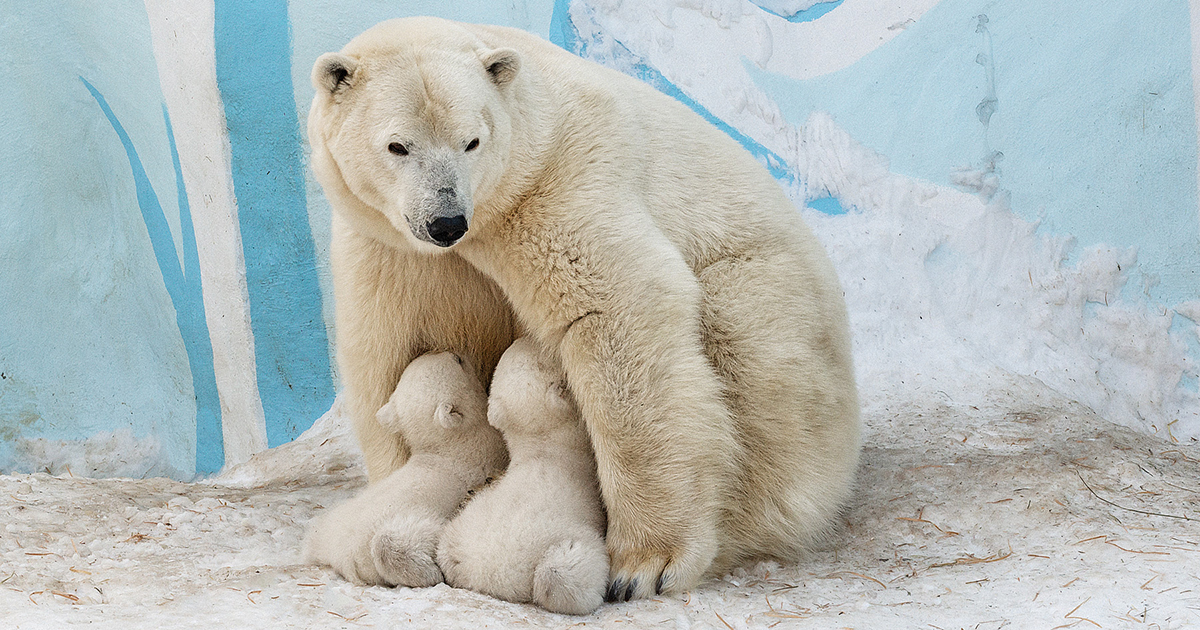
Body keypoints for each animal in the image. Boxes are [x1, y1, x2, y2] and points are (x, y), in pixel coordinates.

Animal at [304, 350, 506, 588]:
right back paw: (430, 572)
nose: (448, 351)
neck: (447, 446)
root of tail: (343, 559)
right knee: (395, 542)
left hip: (333, 521)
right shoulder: (486, 450)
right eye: (458, 361)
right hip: (411, 522)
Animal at [439, 338, 609, 614]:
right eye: (543, 358)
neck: (543, 452)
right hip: (565, 541)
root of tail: (495, 576)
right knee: (560, 574)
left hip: (457, 536)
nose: (523, 337)